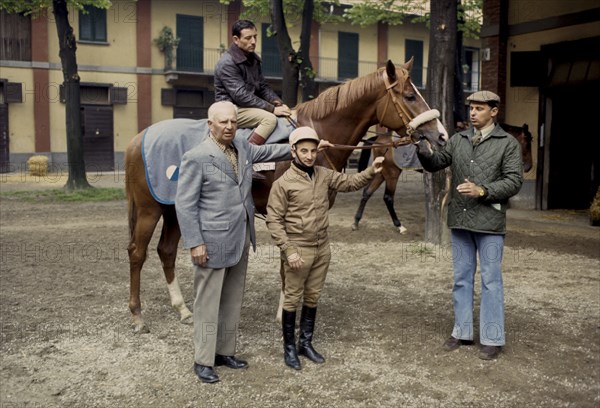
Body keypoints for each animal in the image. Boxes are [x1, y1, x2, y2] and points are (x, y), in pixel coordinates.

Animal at [124, 59, 448, 334]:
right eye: (410, 96)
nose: (441, 135)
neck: (314, 137)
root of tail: (137, 139)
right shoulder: (284, 214)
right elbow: (287, 264)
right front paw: (284, 313)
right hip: (150, 210)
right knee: (137, 254)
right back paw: (138, 316)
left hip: (175, 210)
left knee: (166, 251)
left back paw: (182, 309)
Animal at [352, 122, 536, 233]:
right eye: (527, 143)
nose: (528, 166)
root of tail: (379, 139)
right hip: (392, 174)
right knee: (388, 198)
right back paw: (399, 226)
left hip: (382, 173)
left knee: (367, 193)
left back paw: (356, 221)